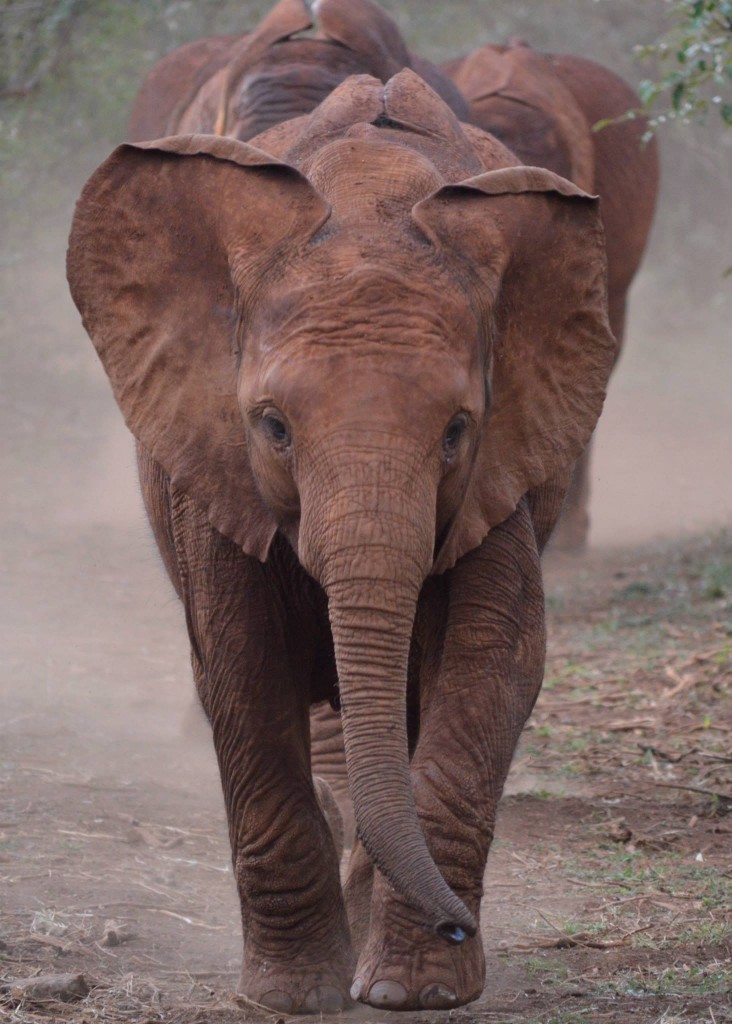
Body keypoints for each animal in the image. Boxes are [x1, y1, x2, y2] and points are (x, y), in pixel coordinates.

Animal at [68, 70, 617, 1011]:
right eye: (274, 426)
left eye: (456, 431)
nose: (456, 923)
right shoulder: (213, 463)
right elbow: (239, 668)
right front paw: (294, 997)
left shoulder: (501, 470)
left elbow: (496, 658)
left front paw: (411, 992)